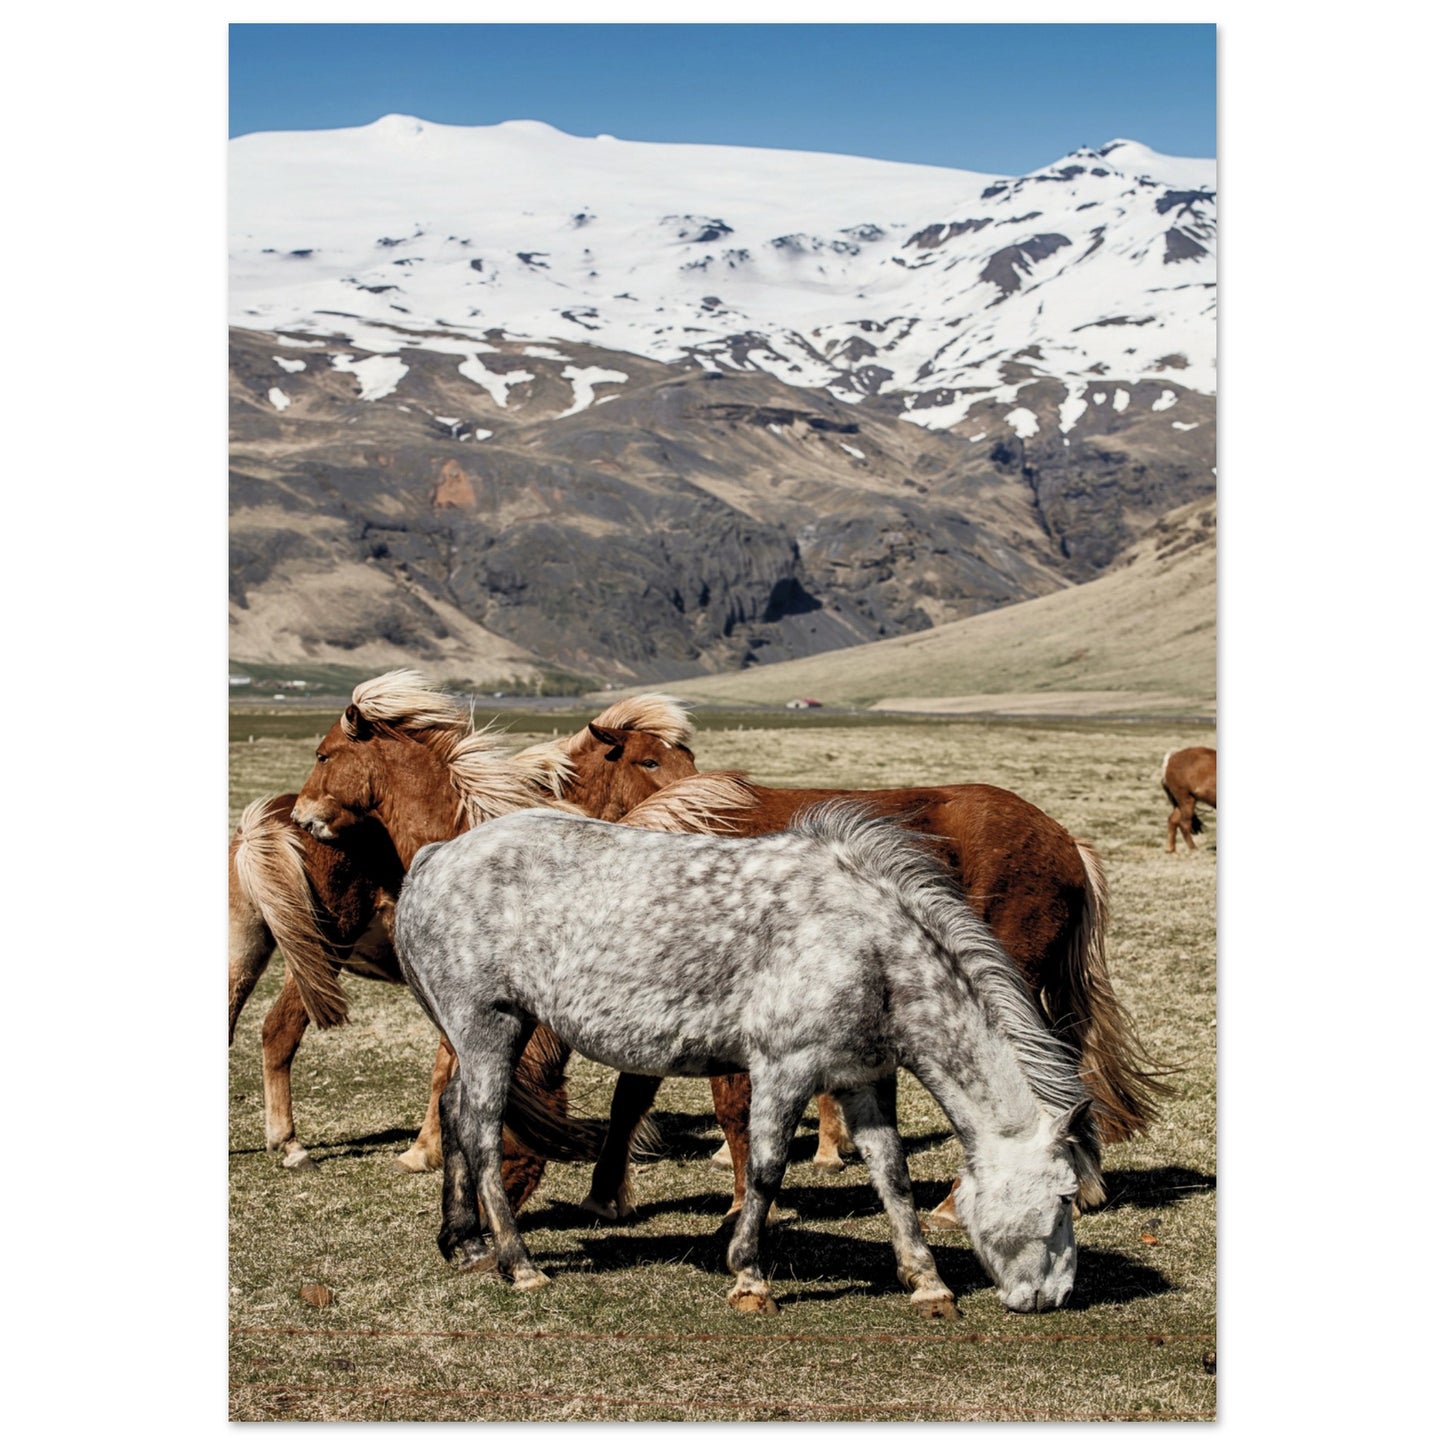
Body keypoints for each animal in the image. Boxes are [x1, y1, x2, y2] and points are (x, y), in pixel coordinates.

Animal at [228, 670, 604, 1197]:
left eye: (323, 755)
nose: (305, 816)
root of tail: (260, 825)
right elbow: (449, 1065)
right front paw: (426, 1150)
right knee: (276, 1031)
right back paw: (290, 1146)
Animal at [395, 803, 1096, 1318]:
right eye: (1066, 1198)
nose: (1055, 1296)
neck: (868, 946)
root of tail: (435, 858)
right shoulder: (785, 1068)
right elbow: (765, 1169)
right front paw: (750, 1277)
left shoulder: (863, 1079)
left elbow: (892, 1174)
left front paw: (927, 1282)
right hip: (489, 1025)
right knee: (482, 1131)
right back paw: (519, 1264)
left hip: (490, 1032)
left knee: (454, 1112)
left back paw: (465, 1242)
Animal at [555, 697, 1167, 1221]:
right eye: (649, 758)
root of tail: (1065, 841)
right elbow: (630, 1096)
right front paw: (602, 1196)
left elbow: (732, 1108)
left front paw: (750, 1204)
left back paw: (959, 1204)